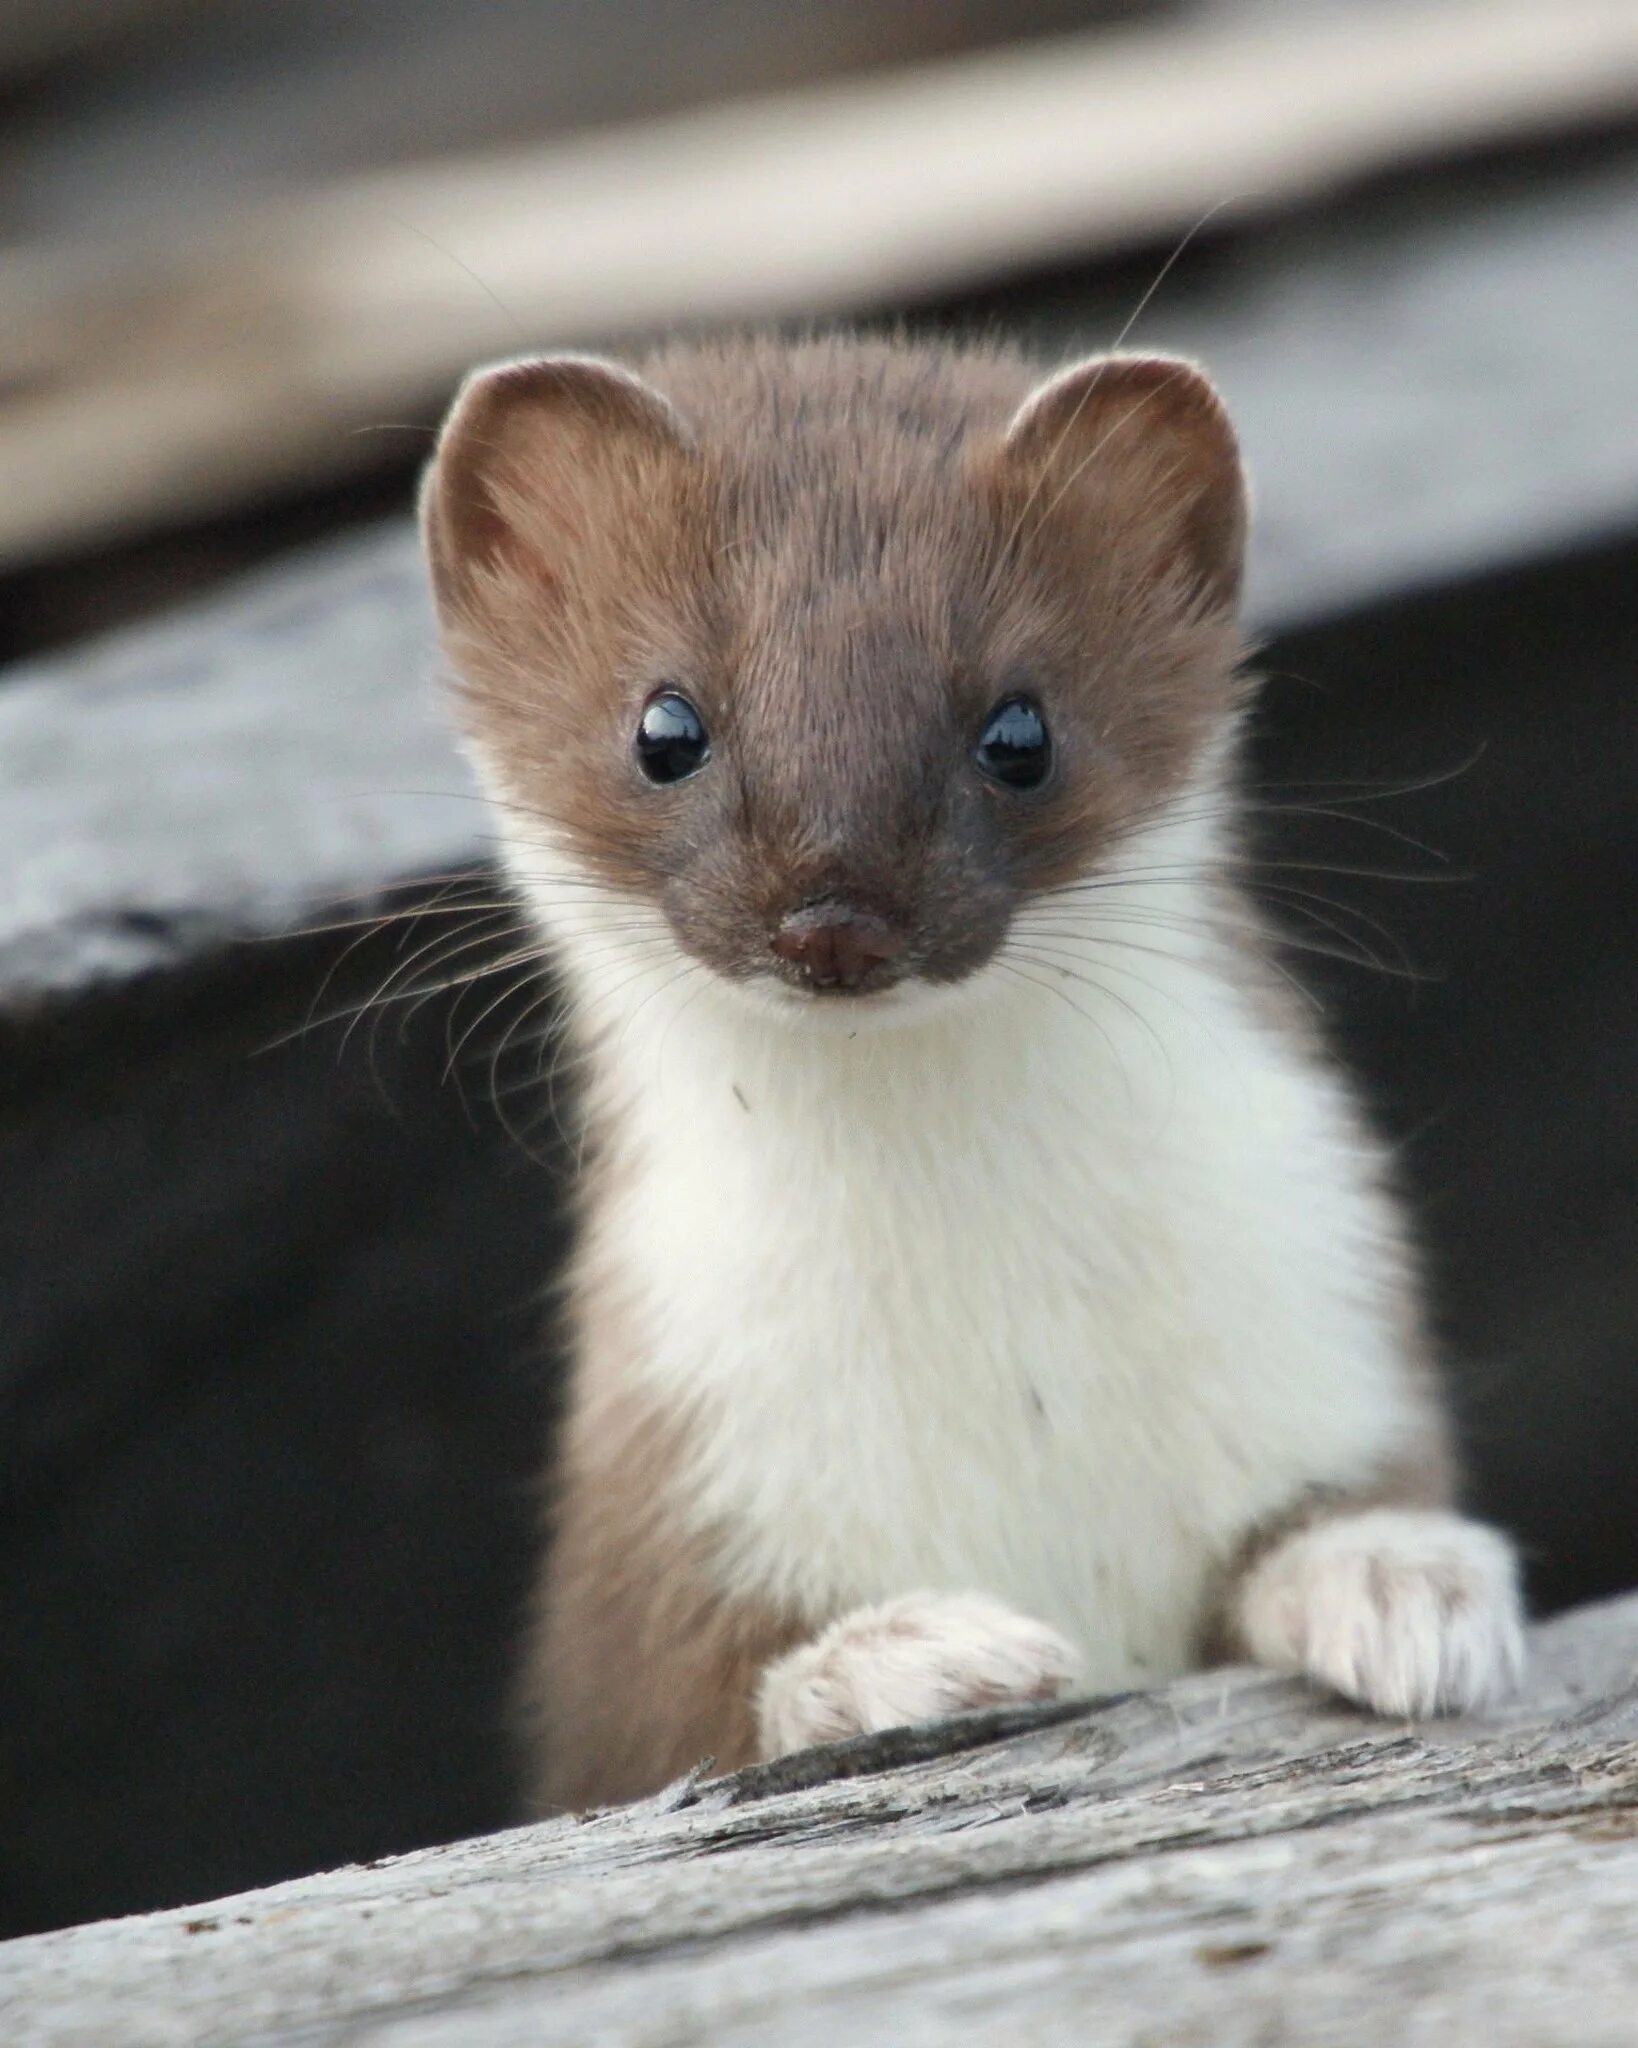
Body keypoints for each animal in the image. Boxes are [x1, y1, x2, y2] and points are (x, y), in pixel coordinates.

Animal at [419, 331, 1523, 1810]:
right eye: (666, 725)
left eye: (1019, 731)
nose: (833, 915)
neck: (1009, 1362)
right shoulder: (662, 1504)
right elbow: (683, 1721)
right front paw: (909, 1655)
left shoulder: (1324, 1314)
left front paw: (1399, 1577)